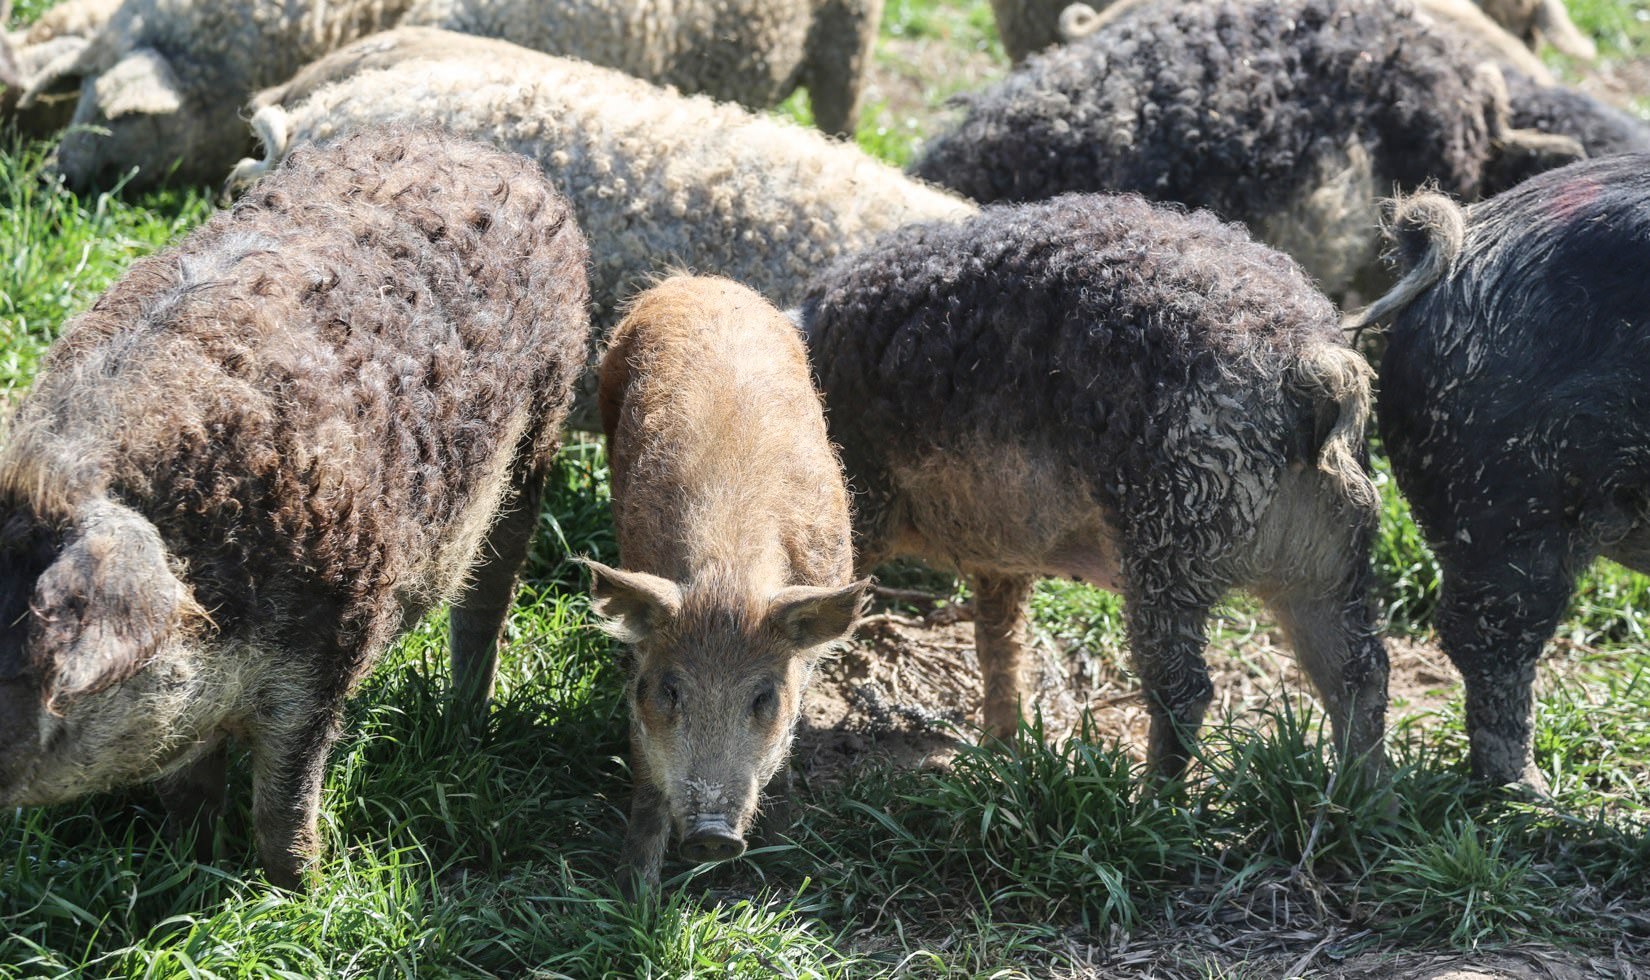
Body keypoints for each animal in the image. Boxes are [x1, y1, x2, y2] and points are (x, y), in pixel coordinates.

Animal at [0, 126, 594, 884]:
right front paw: (190, 861)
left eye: (27, 655)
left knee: (489, 592)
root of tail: (482, 150)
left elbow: (285, 799)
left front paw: (300, 885)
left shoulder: (332, 642)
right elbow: (190, 789)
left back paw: (468, 724)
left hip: (541, 425)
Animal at [594, 272, 877, 884]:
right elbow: (646, 776)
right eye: (669, 689)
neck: (729, 580)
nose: (712, 837)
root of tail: (697, 280)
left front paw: (788, 864)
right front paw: (634, 890)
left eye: (763, 696)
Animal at [798, 194, 1392, 778]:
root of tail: (1316, 363)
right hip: (1332, 559)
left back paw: (1154, 800)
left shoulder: (863, 506)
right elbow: (999, 637)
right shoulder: (1000, 556)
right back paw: (1363, 794)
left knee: (1187, 691)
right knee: (1360, 672)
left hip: (1168, 540)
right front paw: (1001, 752)